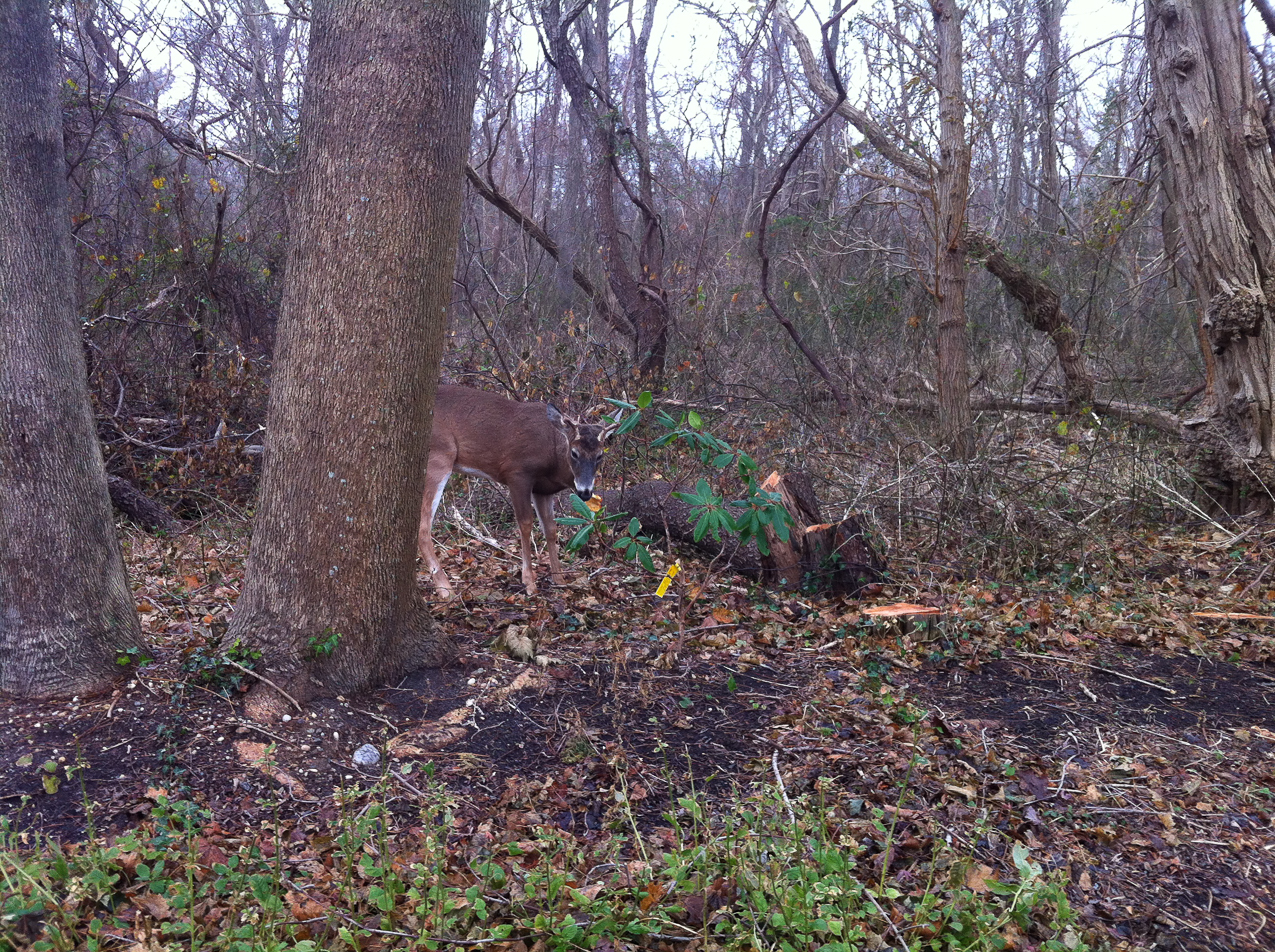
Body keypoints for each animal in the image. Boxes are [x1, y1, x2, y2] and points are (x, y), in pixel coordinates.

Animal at [418, 384, 617, 596]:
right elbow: (525, 525)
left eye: (600, 455)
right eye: (574, 453)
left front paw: (559, 579)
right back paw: (446, 590)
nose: (585, 492)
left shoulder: (543, 490)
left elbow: (550, 529)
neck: (552, 454)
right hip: (439, 456)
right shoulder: (517, 473)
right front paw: (529, 582)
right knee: (423, 527)